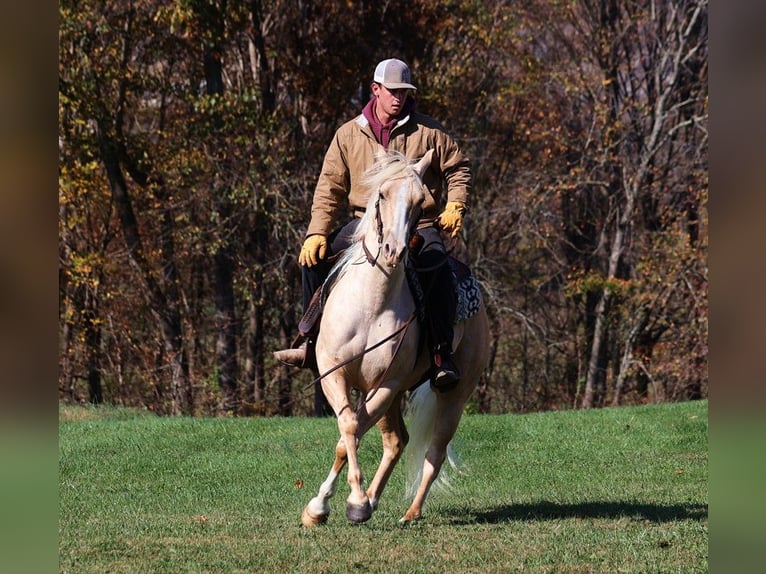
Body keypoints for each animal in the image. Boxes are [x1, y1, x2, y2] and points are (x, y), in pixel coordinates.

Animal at [302, 148, 492, 528]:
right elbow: (349, 429)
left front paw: (348, 502)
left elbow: (350, 433)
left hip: (453, 393)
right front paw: (326, 507)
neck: (370, 305)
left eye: (423, 202)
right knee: (396, 441)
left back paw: (409, 512)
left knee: (433, 450)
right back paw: (373, 500)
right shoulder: (335, 375)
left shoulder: (386, 384)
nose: (394, 250)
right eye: (383, 195)